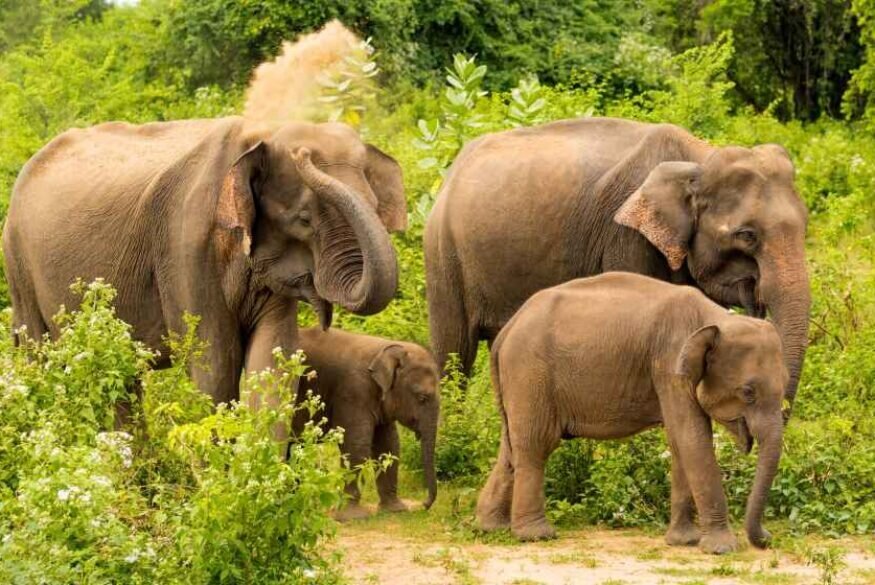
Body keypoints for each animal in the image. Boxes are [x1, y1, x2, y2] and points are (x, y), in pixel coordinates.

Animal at [2, 116, 408, 404]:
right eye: (304, 219)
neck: (257, 136)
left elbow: (272, 364)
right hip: (17, 265)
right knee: (40, 356)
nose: (304, 155)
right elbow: (214, 367)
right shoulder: (184, 247)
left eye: (375, 207)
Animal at [296, 326, 444, 516]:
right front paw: (352, 516)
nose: (423, 505)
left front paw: (395, 510)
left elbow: (389, 445)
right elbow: (356, 445)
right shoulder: (353, 391)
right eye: (422, 398)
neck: (386, 349)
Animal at [428, 116, 812, 410]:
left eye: (806, 225)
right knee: (455, 350)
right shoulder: (625, 237)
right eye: (747, 235)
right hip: (444, 254)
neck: (699, 158)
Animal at [476, 272, 792, 556]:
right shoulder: (668, 363)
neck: (716, 318)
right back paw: (536, 535)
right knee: (536, 444)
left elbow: (679, 441)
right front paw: (721, 548)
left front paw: (684, 542)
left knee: (511, 448)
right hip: (530, 372)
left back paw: (491, 527)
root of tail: (507, 330)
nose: (767, 538)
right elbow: (692, 437)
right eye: (748, 392)